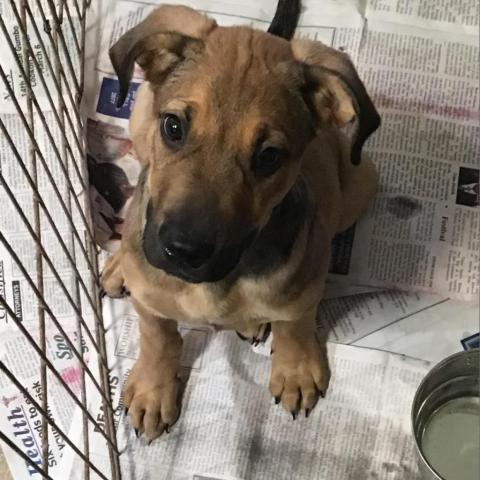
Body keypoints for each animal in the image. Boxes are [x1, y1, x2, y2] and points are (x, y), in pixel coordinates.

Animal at [101, 3, 378, 440]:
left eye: (268, 157)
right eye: (173, 127)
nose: (183, 251)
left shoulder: (305, 284)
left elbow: (296, 323)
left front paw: (296, 369)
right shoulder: (150, 300)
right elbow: (156, 336)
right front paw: (152, 388)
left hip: (360, 182)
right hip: (138, 120)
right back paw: (118, 264)